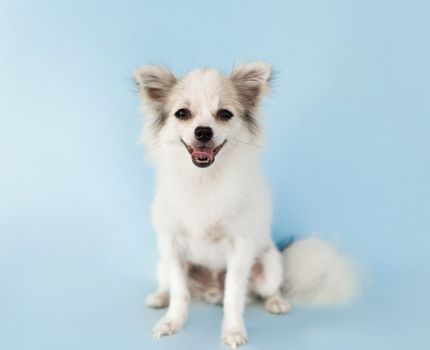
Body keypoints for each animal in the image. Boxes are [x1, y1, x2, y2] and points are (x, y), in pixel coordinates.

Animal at [134, 62, 356, 348]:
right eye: (182, 113)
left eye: (224, 114)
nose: (203, 131)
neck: (204, 180)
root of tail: (211, 289)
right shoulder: (171, 245)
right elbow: (180, 291)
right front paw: (172, 322)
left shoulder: (239, 248)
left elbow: (234, 295)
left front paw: (232, 330)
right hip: (162, 265)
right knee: (170, 285)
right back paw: (160, 297)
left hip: (269, 267)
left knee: (268, 289)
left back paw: (276, 302)